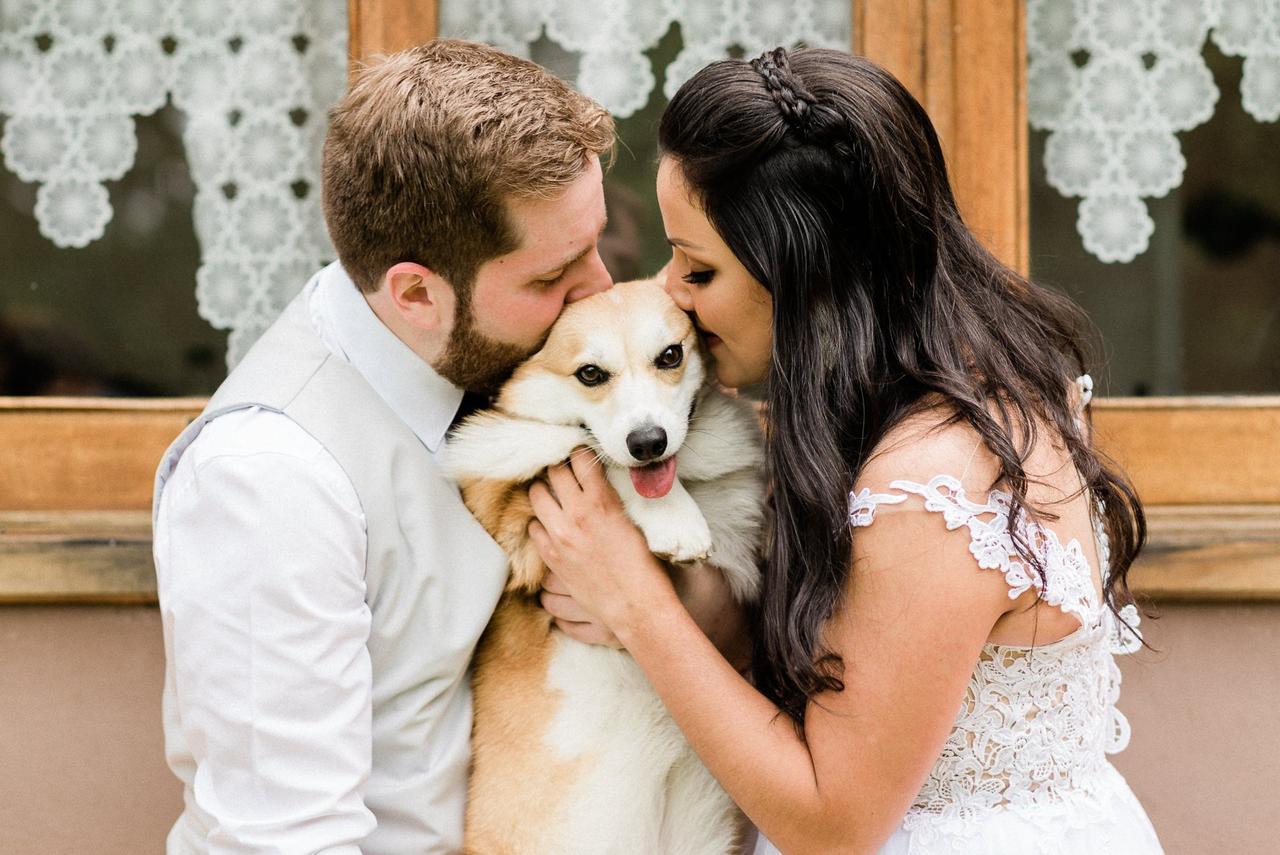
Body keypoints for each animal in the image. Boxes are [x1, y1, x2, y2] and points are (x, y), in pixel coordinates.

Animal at [445, 280, 762, 855]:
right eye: (590, 373)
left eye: (671, 356)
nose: (649, 443)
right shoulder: (503, 502)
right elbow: (587, 457)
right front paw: (675, 521)